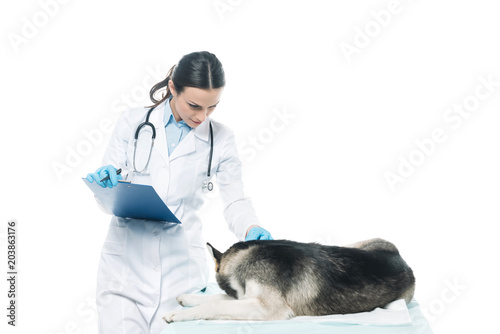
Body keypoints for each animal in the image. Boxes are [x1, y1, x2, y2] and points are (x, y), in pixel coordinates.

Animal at [163, 239, 414, 322]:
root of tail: (406, 264)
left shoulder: (268, 307)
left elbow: (215, 305)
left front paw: (177, 314)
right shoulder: (247, 298)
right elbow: (216, 299)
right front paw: (186, 298)